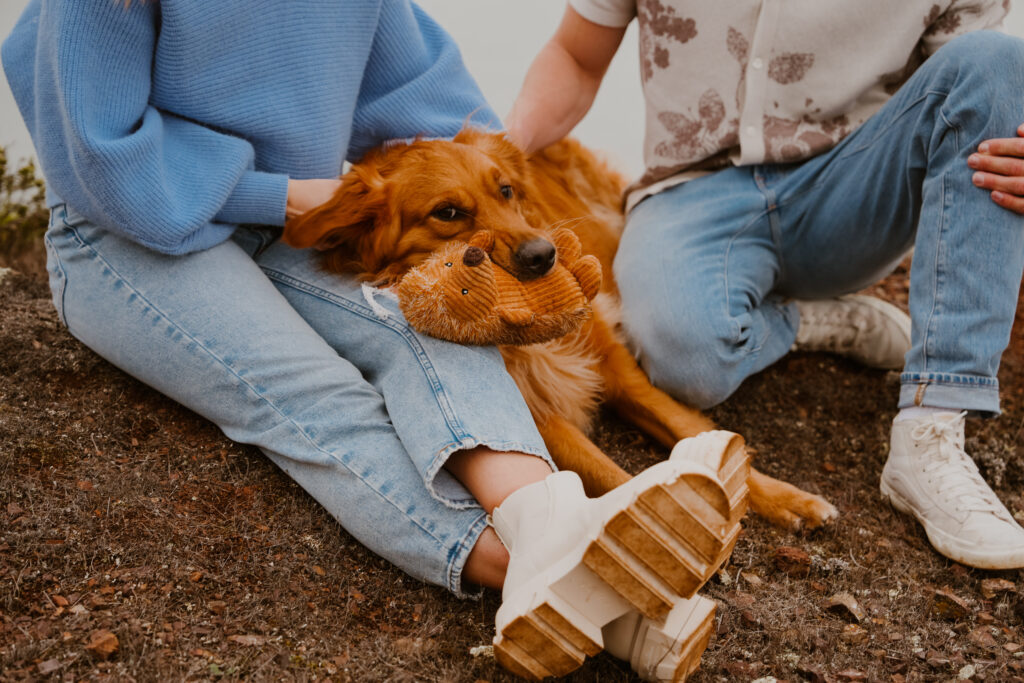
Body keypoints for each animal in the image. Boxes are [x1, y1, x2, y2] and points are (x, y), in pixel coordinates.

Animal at [284, 129, 835, 532]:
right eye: (448, 213)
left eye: (505, 190)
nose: (543, 255)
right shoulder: (538, 416)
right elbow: (610, 474)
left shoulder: (617, 370)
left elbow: (687, 424)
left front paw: (783, 496)